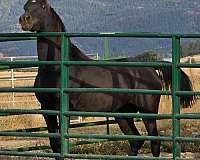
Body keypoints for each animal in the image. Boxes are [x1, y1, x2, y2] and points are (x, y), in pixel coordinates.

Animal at [19, 0, 197, 159]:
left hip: (147, 112)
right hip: (123, 113)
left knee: (154, 141)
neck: (56, 68)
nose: (24, 19)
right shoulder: (47, 109)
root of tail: (150, 69)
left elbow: (61, 143)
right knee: (136, 140)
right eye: (25, 6)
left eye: (42, 6)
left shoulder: (63, 110)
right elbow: (54, 144)